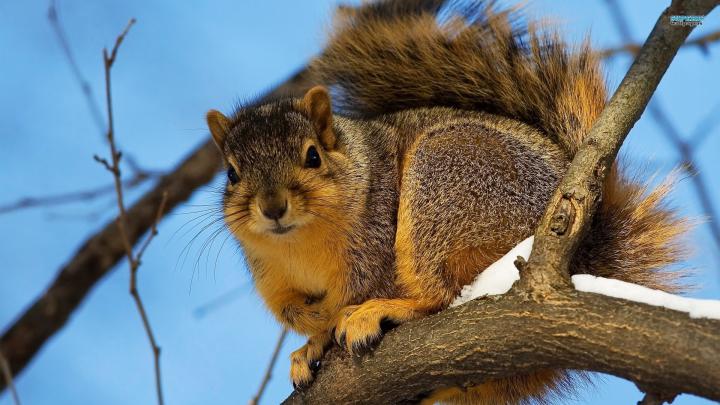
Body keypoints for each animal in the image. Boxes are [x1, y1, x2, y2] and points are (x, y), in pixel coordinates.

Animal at [205, 0, 689, 403]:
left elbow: (358, 290)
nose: (272, 207)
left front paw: (331, 327)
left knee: (438, 294)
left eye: (312, 156)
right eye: (231, 174)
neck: (299, 247)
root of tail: (583, 252)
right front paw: (309, 342)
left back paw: (384, 312)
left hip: (444, 180)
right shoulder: (273, 278)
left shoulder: (375, 238)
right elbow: (297, 311)